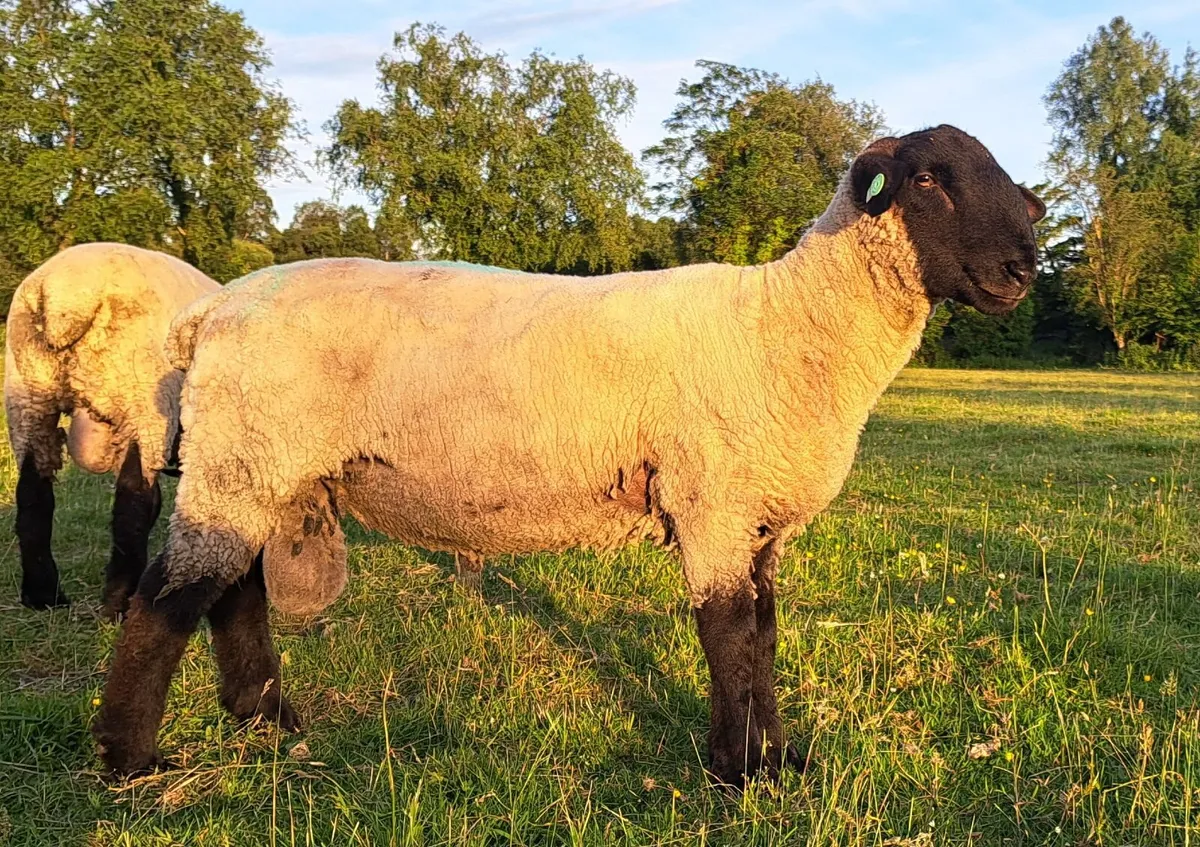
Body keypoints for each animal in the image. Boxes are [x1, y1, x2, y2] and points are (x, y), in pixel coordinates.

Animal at [5, 243, 220, 616]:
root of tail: (64, 296)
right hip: (143, 399)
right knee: (131, 499)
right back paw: (118, 602)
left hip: (30, 398)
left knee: (33, 495)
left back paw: (44, 596)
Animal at [94, 125, 1046, 784]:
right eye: (927, 178)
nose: (1024, 268)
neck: (787, 326)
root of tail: (211, 311)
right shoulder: (713, 501)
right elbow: (729, 637)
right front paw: (739, 774)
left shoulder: (760, 521)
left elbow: (765, 636)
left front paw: (781, 759)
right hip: (242, 455)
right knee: (165, 602)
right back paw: (131, 762)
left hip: (253, 461)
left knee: (230, 593)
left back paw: (267, 720)